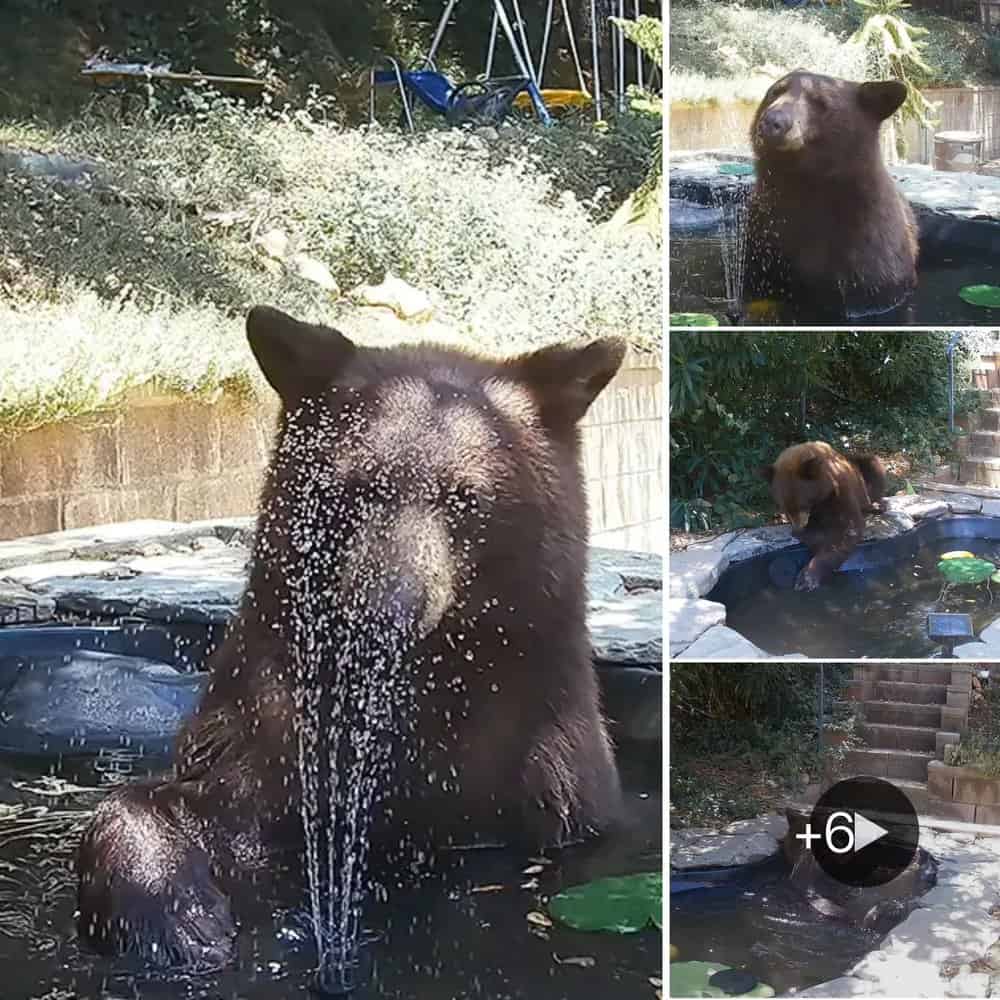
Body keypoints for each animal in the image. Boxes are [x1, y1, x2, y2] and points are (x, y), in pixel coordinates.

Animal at [75, 305, 626, 971]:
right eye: (355, 487)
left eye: (466, 499)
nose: (384, 612)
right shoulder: (268, 732)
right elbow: (193, 806)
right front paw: (177, 917)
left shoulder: (543, 764)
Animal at [758, 441, 887, 592]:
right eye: (784, 507)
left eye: (801, 505)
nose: (798, 527)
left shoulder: (841, 491)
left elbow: (849, 528)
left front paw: (807, 578)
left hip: (864, 472)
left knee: (873, 468)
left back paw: (876, 506)